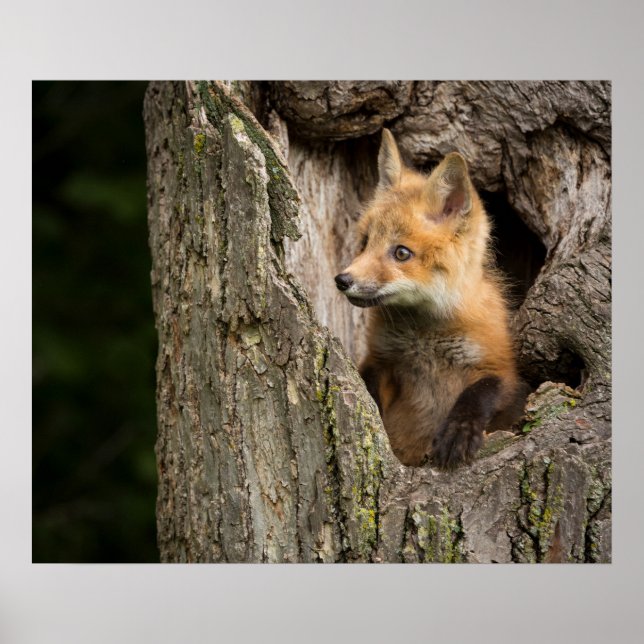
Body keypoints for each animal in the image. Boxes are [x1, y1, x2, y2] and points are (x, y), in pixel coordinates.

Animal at [335, 129, 527, 469]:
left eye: (401, 253)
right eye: (365, 242)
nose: (343, 280)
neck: (425, 339)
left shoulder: (501, 367)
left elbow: (480, 392)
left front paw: (458, 431)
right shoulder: (381, 360)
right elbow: (369, 390)